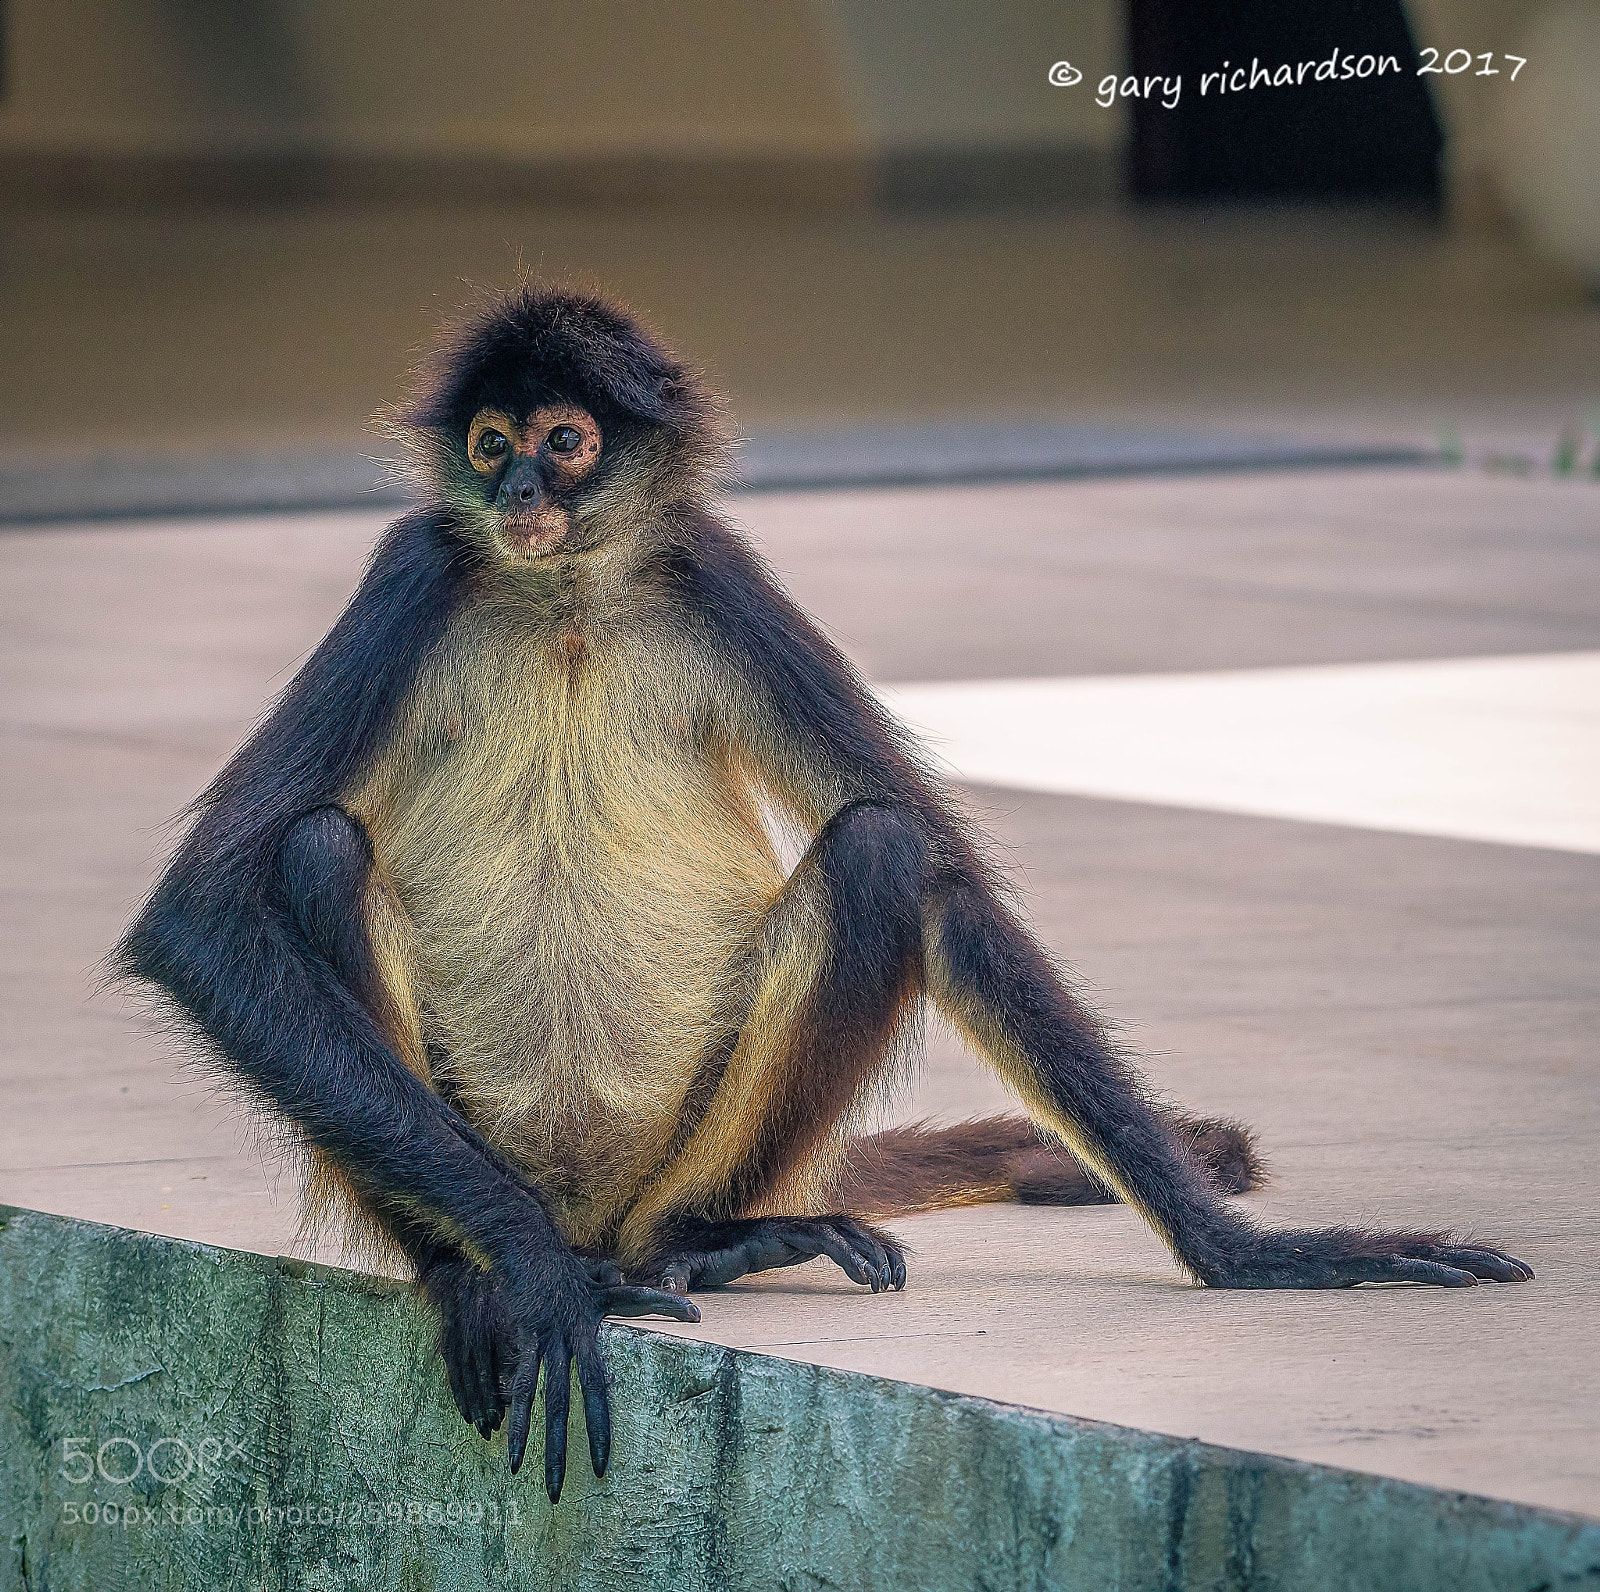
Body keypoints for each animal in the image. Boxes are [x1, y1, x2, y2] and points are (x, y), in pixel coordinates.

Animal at [116, 284, 1532, 1506]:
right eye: (488, 441)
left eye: (565, 441)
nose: (515, 488)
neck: (566, 594)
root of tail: (605, 1213)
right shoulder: (415, 566)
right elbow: (199, 913)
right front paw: (525, 1275)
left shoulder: (717, 573)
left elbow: (942, 880)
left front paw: (1250, 1255)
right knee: (314, 850)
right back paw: (489, 1271)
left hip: (687, 1144)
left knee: (878, 852)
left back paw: (704, 1245)